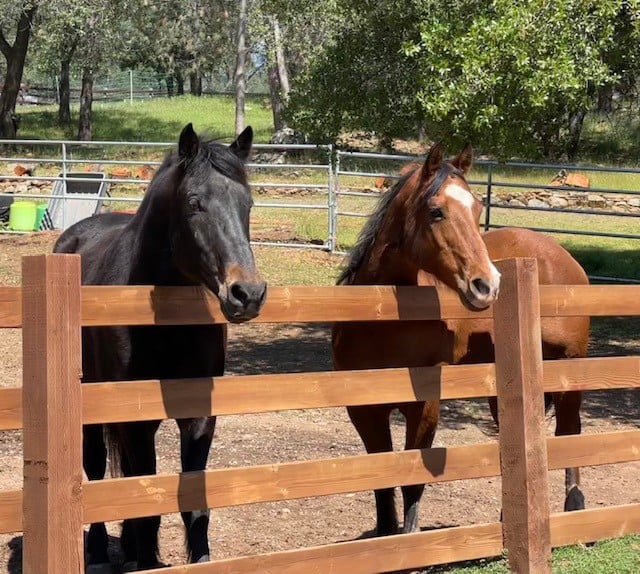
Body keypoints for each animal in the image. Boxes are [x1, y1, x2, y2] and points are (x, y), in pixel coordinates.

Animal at [53, 123, 267, 571]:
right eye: (194, 202)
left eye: (248, 204)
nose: (247, 293)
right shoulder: (135, 420)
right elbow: (144, 502)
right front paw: (143, 557)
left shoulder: (200, 417)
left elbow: (194, 504)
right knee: (96, 468)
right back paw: (99, 550)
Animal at [332, 145, 588, 539]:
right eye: (436, 211)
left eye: (477, 208)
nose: (487, 284)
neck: (380, 321)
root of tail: (558, 254)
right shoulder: (364, 409)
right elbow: (383, 480)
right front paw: (386, 536)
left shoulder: (424, 407)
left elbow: (412, 480)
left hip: (568, 373)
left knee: (570, 430)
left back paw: (574, 507)